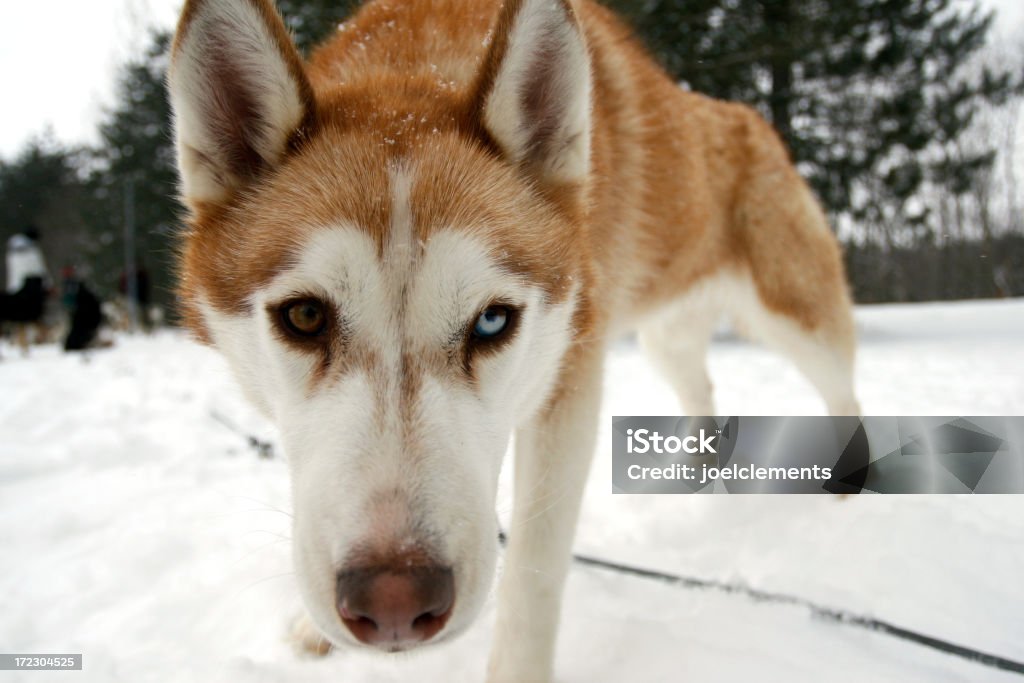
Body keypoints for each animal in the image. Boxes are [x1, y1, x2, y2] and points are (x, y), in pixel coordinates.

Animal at [165, 0, 856, 679]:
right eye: (305, 317)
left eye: (492, 322)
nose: (394, 604)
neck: (417, 63)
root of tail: (750, 118)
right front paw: (317, 630)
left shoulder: (569, 384)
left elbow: (533, 573)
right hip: (668, 340)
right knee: (704, 393)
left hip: (794, 316)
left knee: (843, 389)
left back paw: (848, 485)